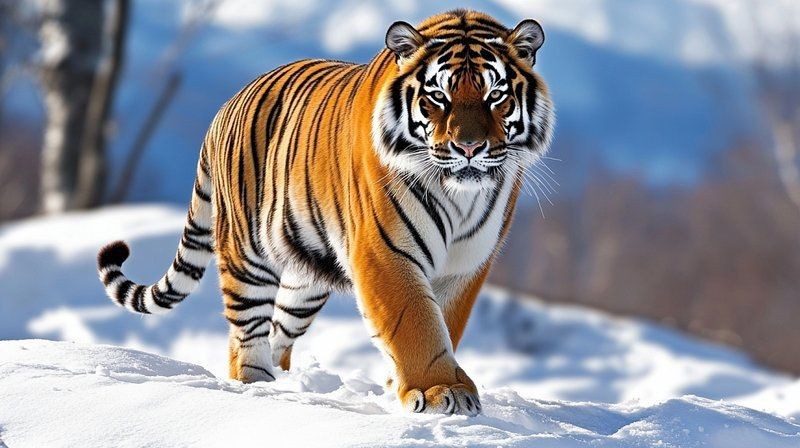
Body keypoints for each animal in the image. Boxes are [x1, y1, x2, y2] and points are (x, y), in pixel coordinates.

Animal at [97, 9, 554, 416]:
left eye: (496, 96)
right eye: (437, 97)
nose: (469, 148)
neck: (460, 195)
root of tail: (225, 107)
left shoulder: (467, 262)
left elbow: (444, 322)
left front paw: (406, 384)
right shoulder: (385, 252)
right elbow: (416, 322)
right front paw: (441, 391)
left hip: (305, 279)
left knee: (278, 331)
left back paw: (286, 382)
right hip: (248, 256)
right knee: (246, 333)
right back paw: (259, 386)